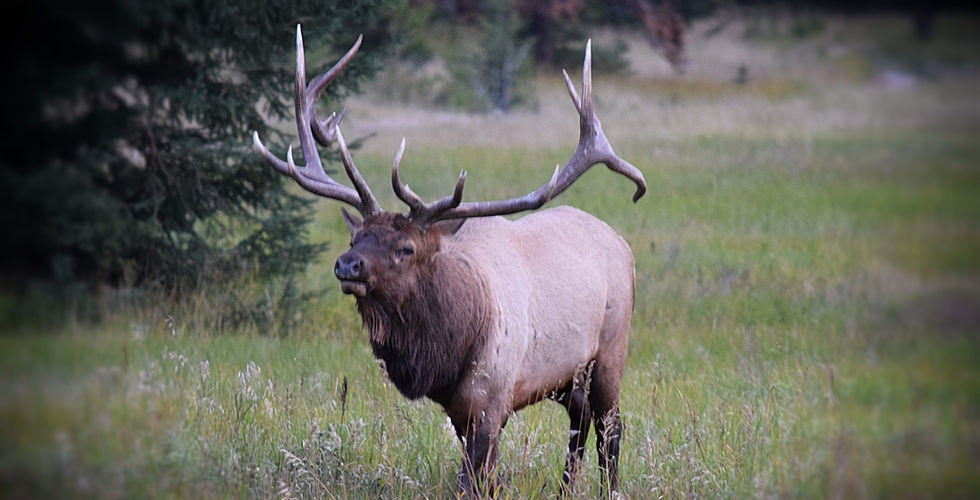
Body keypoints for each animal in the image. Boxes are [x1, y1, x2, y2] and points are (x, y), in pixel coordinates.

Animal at [253, 26, 646, 497]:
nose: (347, 266)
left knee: (611, 427)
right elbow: (487, 479)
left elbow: (470, 482)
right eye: (355, 237)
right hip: (564, 375)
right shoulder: (459, 410)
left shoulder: (491, 398)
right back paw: (566, 488)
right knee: (581, 419)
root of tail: (622, 244)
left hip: (610, 349)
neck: (447, 352)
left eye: (406, 248)